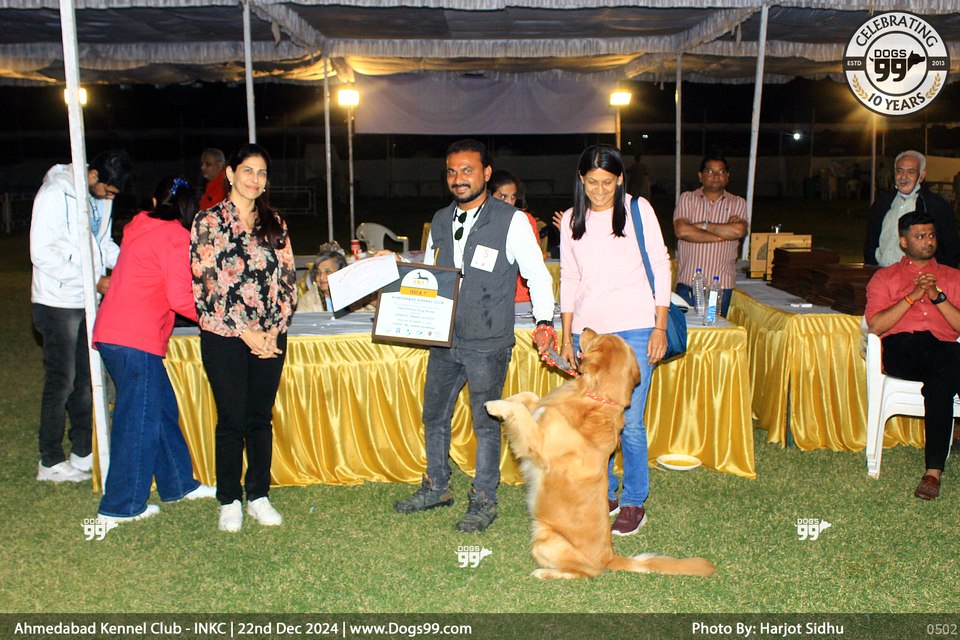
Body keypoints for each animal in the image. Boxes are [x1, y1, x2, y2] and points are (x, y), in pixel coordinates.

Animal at [486, 328, 715, 580]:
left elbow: (521, 411)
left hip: (545, 535)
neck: (595, 397)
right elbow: (529, 397)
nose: (585, 328)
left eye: (597, 340)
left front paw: (494, 404)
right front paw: (507, 399)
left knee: (581, 573)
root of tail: (609, 557)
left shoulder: (538, 444)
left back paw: (544, 572)